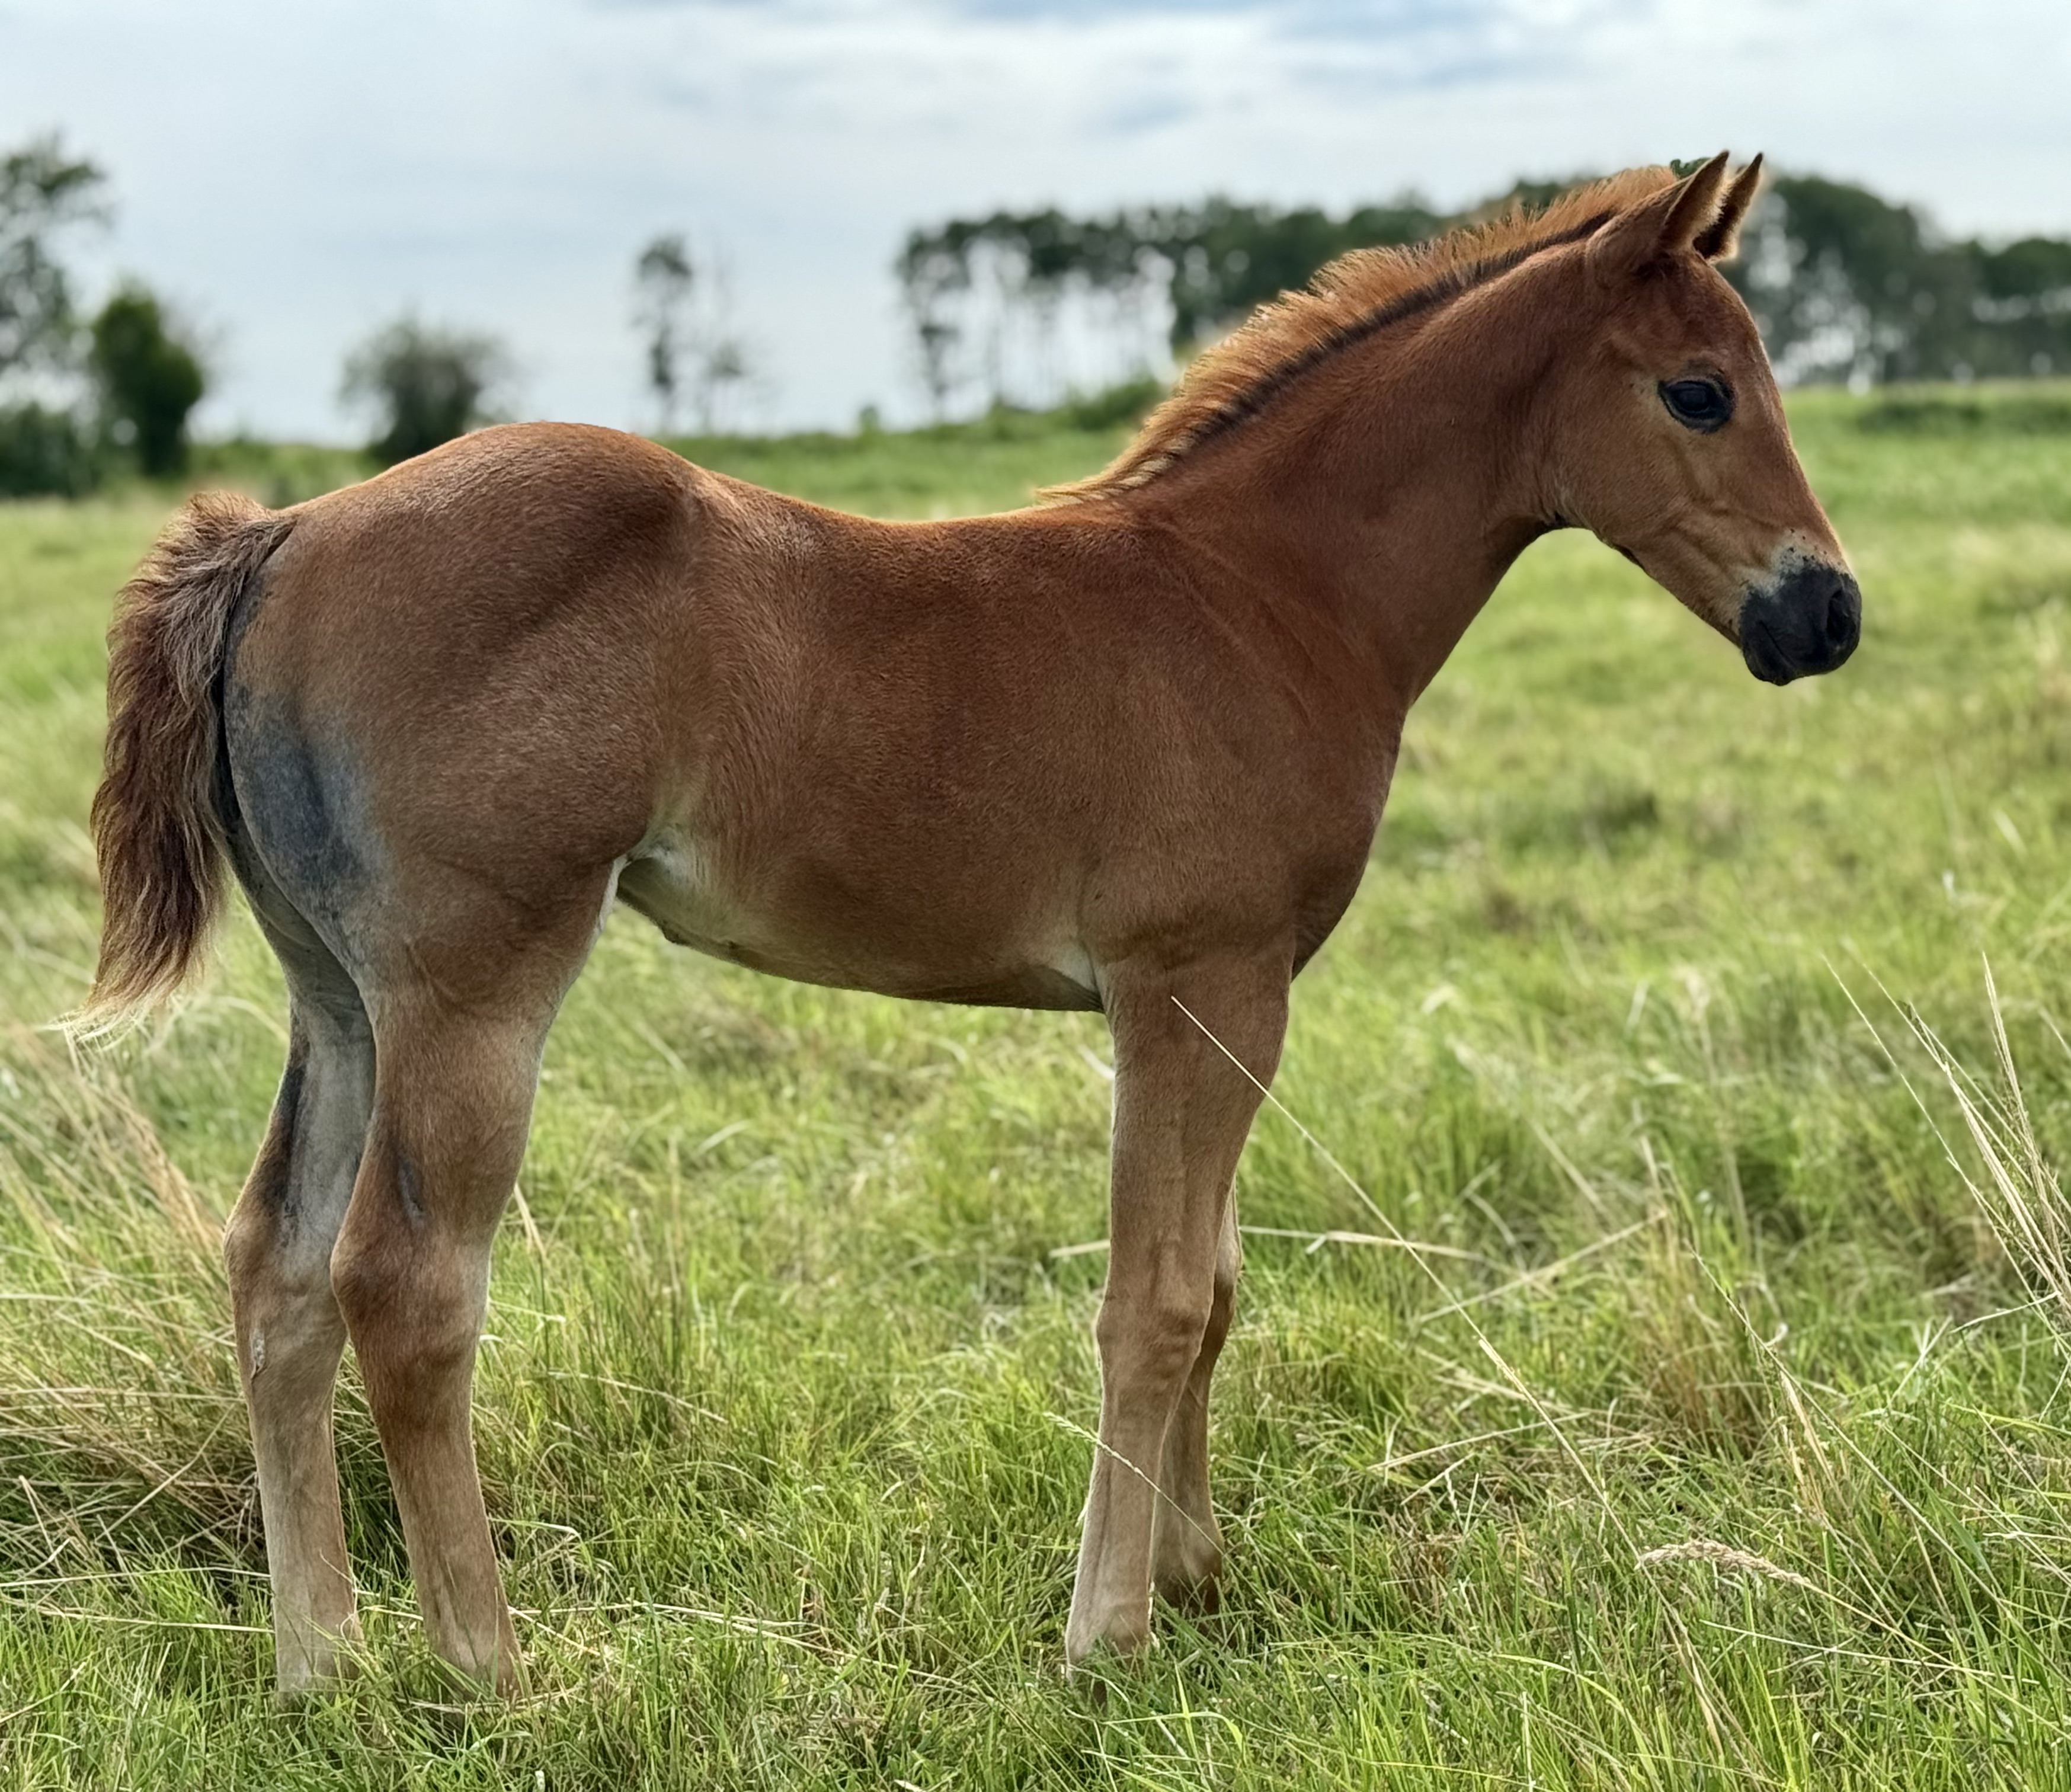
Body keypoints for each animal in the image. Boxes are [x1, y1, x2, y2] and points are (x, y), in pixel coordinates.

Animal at [76, 154, 1859, 1696]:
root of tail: (281, 537)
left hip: (339, 997)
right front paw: (1108, 1634)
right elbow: (1155, 1298)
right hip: (473, 990)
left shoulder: (1216, 1002)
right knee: (406, 1285)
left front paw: (1195, 1579)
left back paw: (320, 1668)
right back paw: (490, 1674)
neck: (1259, 598)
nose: (1823, 613)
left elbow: (1213, 1281)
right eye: (1697, 390)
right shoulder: (1197, 986)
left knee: (276, 1271)